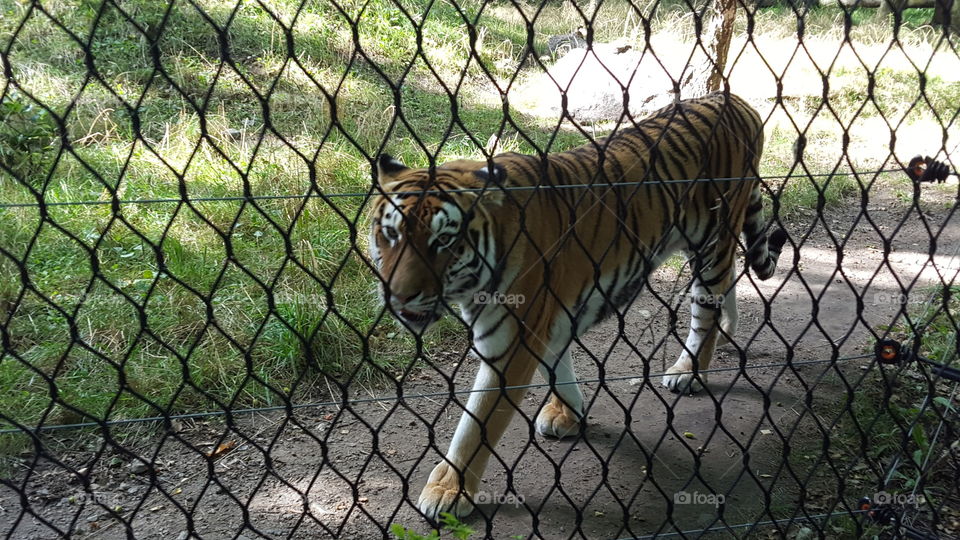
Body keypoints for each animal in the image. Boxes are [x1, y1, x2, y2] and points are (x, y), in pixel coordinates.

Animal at [367, 91, 788, 520]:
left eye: (443, 242)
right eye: (391, 235)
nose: (398, 295)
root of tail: (733, 99)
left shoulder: (511, 341)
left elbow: (477, 423)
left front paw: (448, 491)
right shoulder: (546, 317)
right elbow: (556, 363)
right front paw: (568, 413)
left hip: (713, 240)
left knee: (705, 305)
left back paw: (689, 370)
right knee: (726, 281)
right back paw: (724, 331)